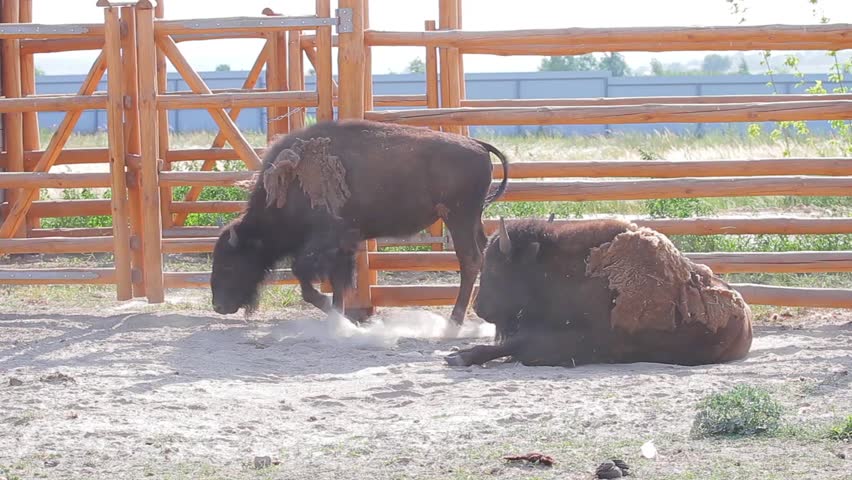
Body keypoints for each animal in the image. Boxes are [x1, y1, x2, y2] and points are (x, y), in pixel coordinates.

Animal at [211, 119, 508, 324]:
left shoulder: (326, 242)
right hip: (471, 219)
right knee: (482, 253)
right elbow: (338, 282)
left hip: (458, 218)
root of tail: (479, 145)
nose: (218, 306)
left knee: (469, 260)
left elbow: (307, 279)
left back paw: (453, 322)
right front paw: (343, 316)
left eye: (229, 263)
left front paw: (339, 315)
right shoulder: (345, 245)